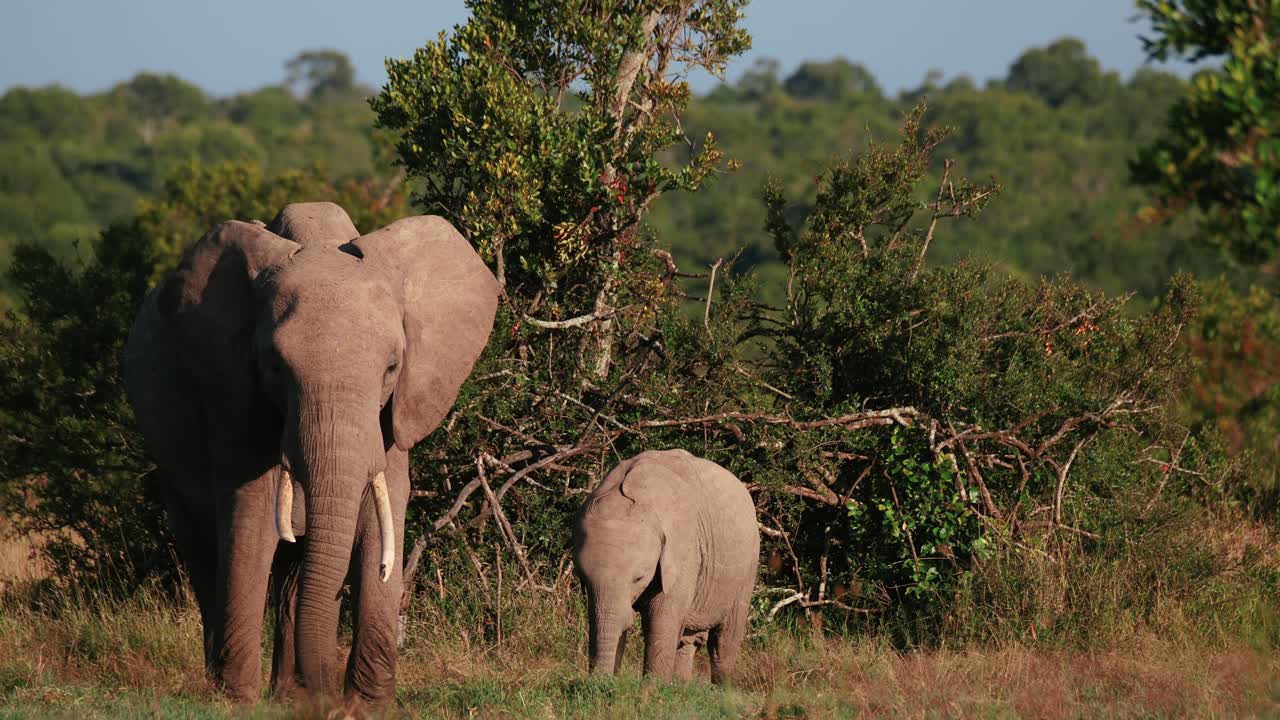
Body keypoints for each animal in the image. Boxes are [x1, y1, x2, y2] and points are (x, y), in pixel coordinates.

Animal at [123, 202, 499, 703]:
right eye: (274, 368)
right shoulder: (232, 390)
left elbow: (382, 509)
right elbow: (251, 513)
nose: (329, 695)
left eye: (391, 368)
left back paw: (290, 695)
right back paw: (232, 685)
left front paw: (369, 704)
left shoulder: (391, 414)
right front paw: (239, 700)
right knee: (203, 550)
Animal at [572, 449, 759, 684]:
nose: (600, 682)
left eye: (639, 578)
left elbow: (662, 616)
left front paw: (652, 689)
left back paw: (722, 688)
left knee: (724, 640)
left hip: (747, 567)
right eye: (583, 579)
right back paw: (681, 685)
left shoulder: (685, 549)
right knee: (689, 639)